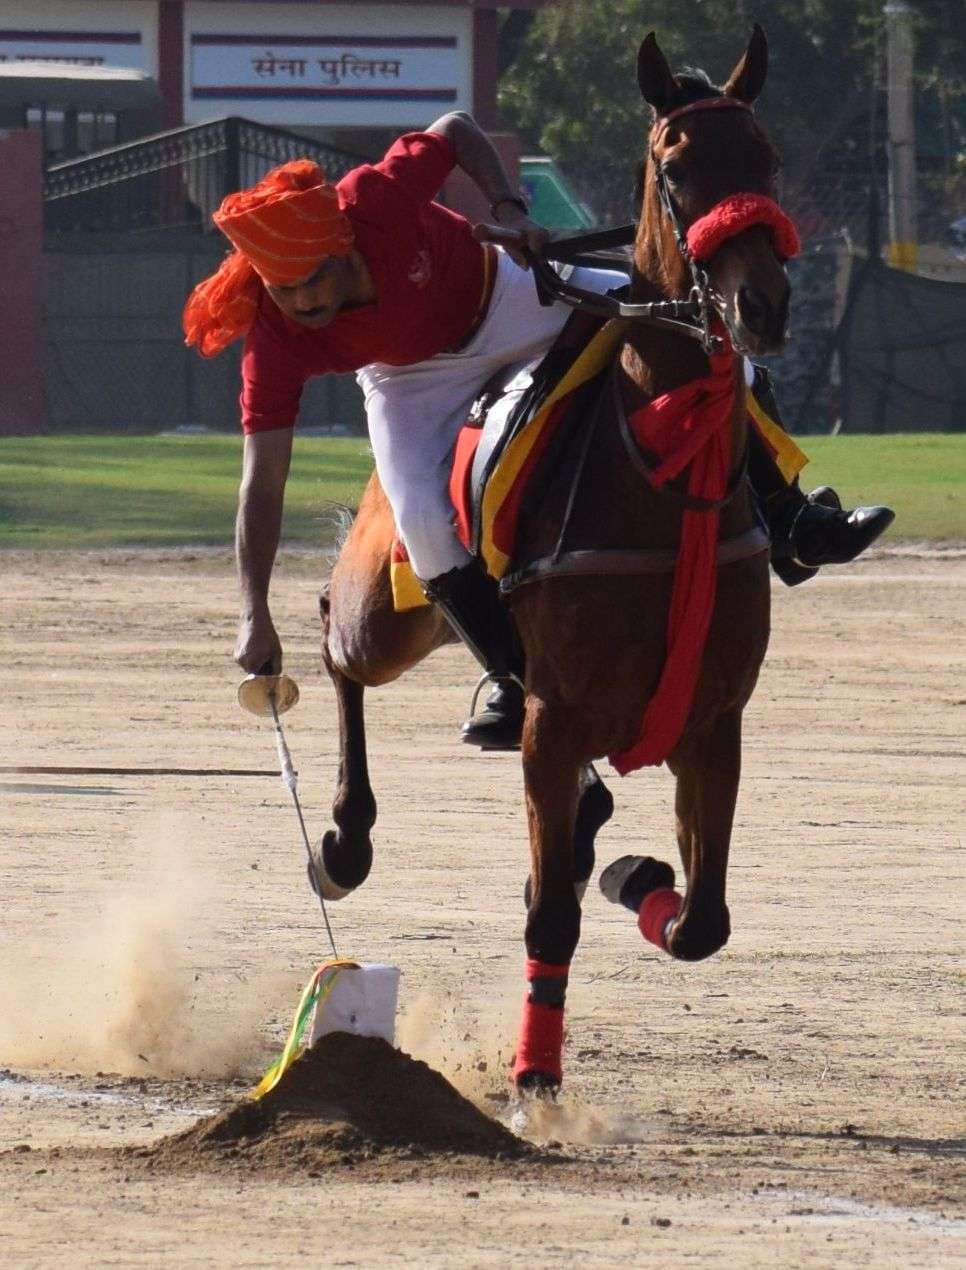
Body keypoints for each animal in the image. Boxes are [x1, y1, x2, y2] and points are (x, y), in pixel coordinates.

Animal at [319, 24, 787, 1087]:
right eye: (675, 168)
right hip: (387, 598)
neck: (660, 472)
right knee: (335, 641)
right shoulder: (556, 720)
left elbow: (700, 921)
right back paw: (345, 836)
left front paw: (635, 873)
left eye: (767, 158)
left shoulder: (715, 722)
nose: (762, 305)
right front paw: (535, 1076)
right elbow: (550, 920)